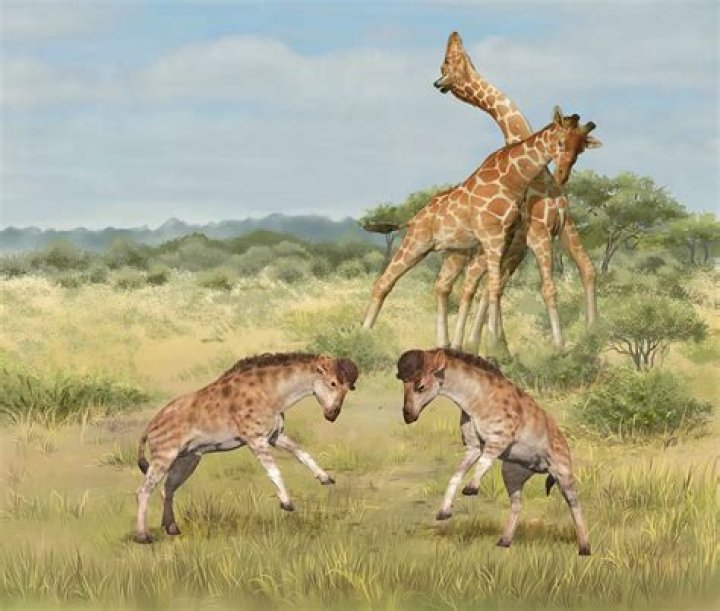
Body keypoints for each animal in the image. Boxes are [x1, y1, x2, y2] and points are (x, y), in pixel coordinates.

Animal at [133, 352, 359, 543]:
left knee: (167, 489)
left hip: (187, 460)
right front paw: (286, 503)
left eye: (348, 387)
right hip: (164, 457)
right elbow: (274, 470)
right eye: (333, 383)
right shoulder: (256, 440)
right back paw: (143, 536)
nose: (332, 415)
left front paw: (326, 478)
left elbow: (302, 453)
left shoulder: (275, 436)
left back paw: (172, 528)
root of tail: (150, 426)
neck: (272, 392)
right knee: (143, 490)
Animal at [362, 107, 599, 353]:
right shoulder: (494, 235)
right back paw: (364, 335)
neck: (513, 180)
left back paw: (445, 344)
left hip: (456, 252)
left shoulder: (505, 238)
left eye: (581, 148)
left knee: (442, 286)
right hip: (417, 243)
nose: (562, 175)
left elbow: (493, 287)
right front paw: (494, 346)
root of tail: (413, 219)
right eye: (560, 142)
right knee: (384, 282)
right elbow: (494, 286)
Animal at [397, 348, 591, 555]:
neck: (475, 400)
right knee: (517, 504)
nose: (407, 415)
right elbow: (456, 475)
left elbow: (485, 462)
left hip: (562, 472)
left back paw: (585, 548)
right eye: (403, 384)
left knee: (574, 504)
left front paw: (471, 488)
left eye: (420, 385)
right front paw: (444, 512)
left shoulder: (499, 439)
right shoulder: (473, 447)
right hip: (512, 473)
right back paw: (504, 541)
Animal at [433, 31, 601, 351]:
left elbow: (585, 269)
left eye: (448, 61)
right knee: (468, 285)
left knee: (475, 285)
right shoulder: (535, 235)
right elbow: (536, 287)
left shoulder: (557, 229)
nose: (438, 83)